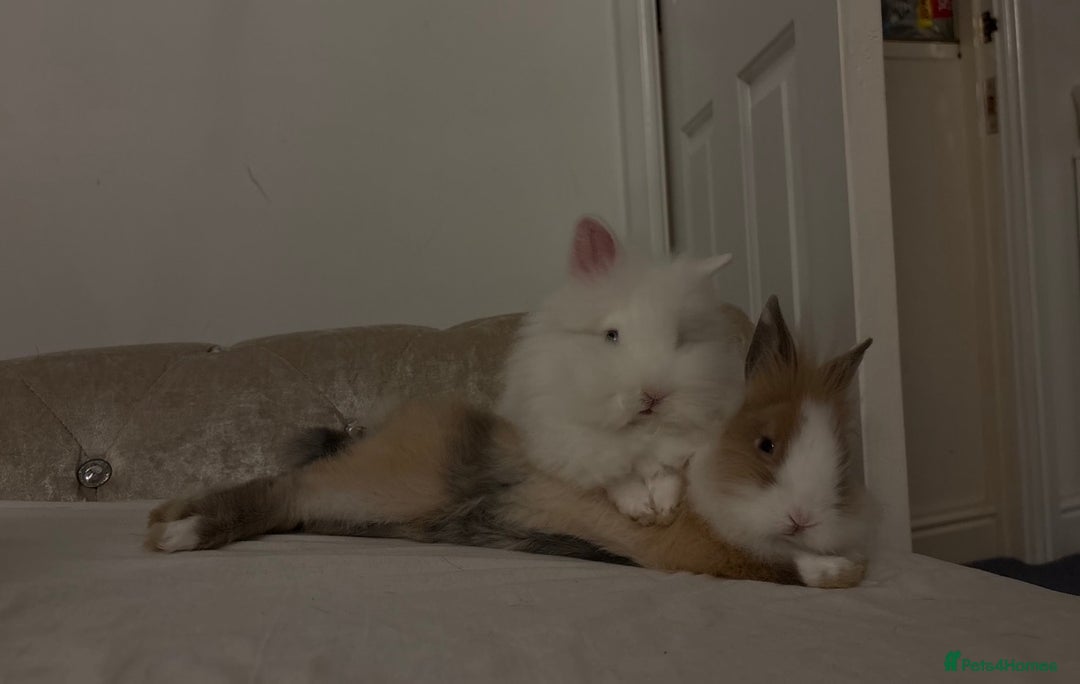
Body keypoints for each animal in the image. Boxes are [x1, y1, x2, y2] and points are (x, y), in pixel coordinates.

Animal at [146, 296, 873, 588]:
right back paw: (174, 529)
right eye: (766, 444)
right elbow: (769, 565)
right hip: (384, 483)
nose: (807, 517)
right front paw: (839, 572)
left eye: (843, 459)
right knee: (282, 488)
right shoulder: (688, 550)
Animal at [496, 215, 752, 525]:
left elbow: (668, 472)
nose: (654, 394)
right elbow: (617, 477)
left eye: (680, 339)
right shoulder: (578, 447)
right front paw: (640, 509)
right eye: (611, 335)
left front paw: (664, 509)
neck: (641, 431)